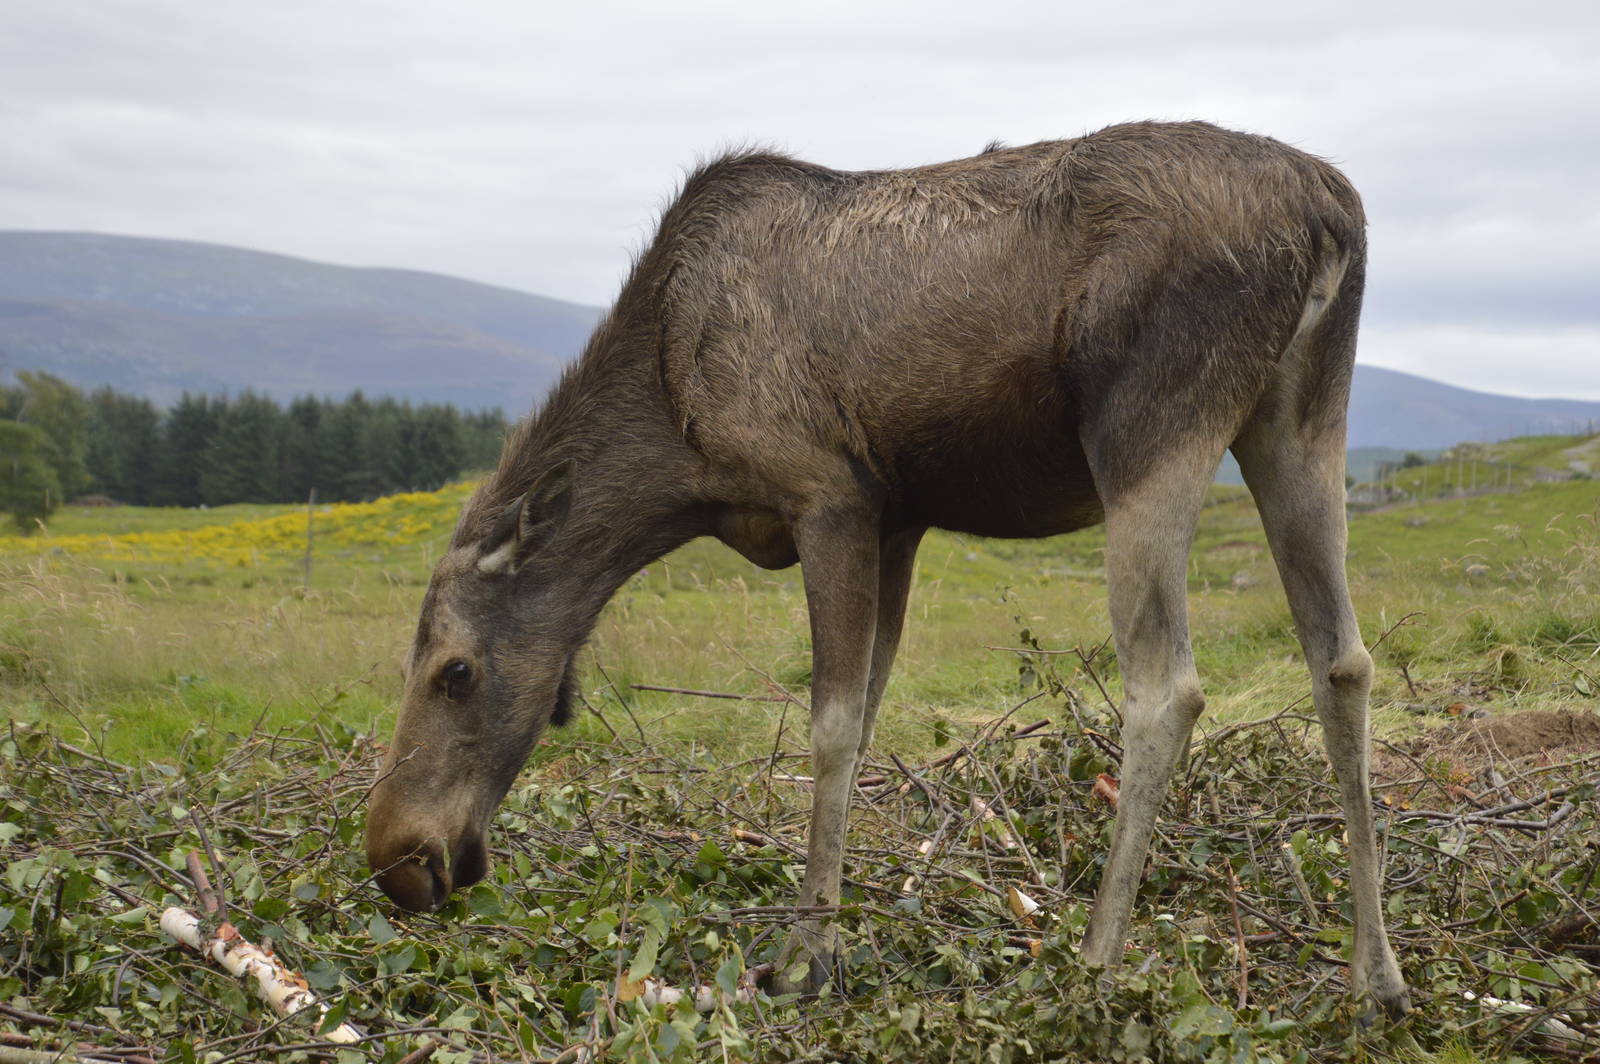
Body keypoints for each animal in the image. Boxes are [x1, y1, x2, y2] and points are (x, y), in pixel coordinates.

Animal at [364, 119, 1411, 1016]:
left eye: (454, 670)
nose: (398, 857)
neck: (676, 443)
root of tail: (1331, 210)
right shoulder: (900, 518)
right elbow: (867, 718)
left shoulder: (829, 491)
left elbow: (828, 727)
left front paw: (806, 955)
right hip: (1298, 420)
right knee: (1344, 661)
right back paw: (1377, 977)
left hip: (1150, 428)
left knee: (1168, 688)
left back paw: (1094, 961)